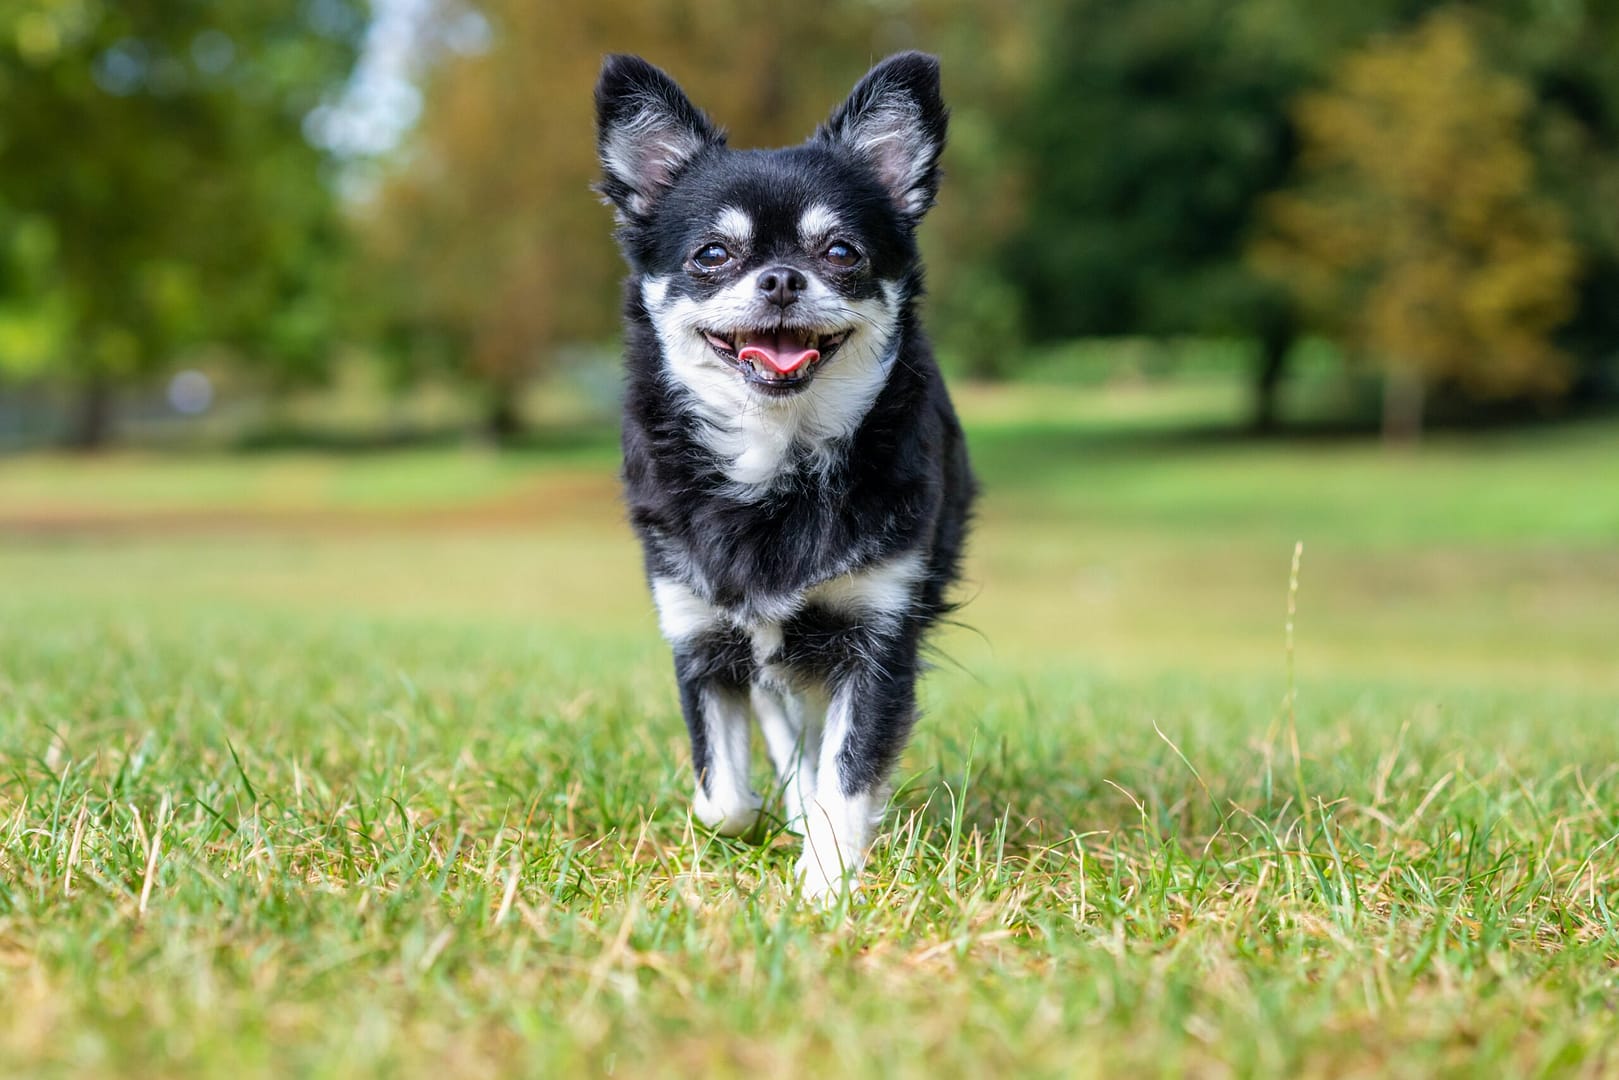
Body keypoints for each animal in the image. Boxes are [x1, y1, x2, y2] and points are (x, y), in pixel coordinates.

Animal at [595, 48, 971, 893]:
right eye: (712, 255)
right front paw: (780, 823)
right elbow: (723, 796)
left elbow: (847, 774)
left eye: (840, 253)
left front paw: (824, 886)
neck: (775, 456)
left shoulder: (877, 639)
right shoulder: (700, 636)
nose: (779, 278)